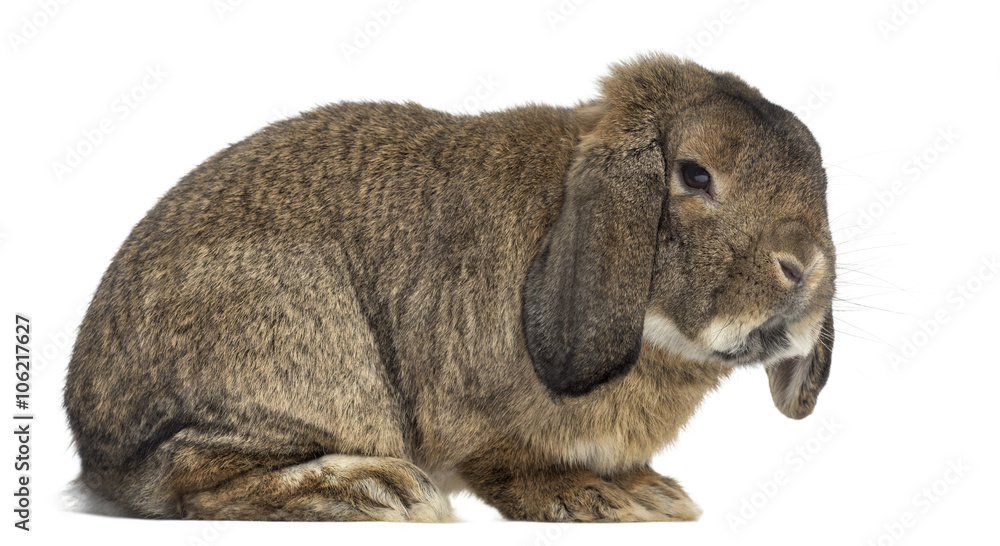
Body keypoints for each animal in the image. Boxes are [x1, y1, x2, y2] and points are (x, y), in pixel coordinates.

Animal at [64, 53, 835, 522]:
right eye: (695, 174)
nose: (807, 267)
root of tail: (95, 445)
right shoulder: (484, 427)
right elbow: (512, 469)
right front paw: (598, 499)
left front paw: (652, 493)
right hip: (304, 346)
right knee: (187, 479)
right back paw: (379, 492)